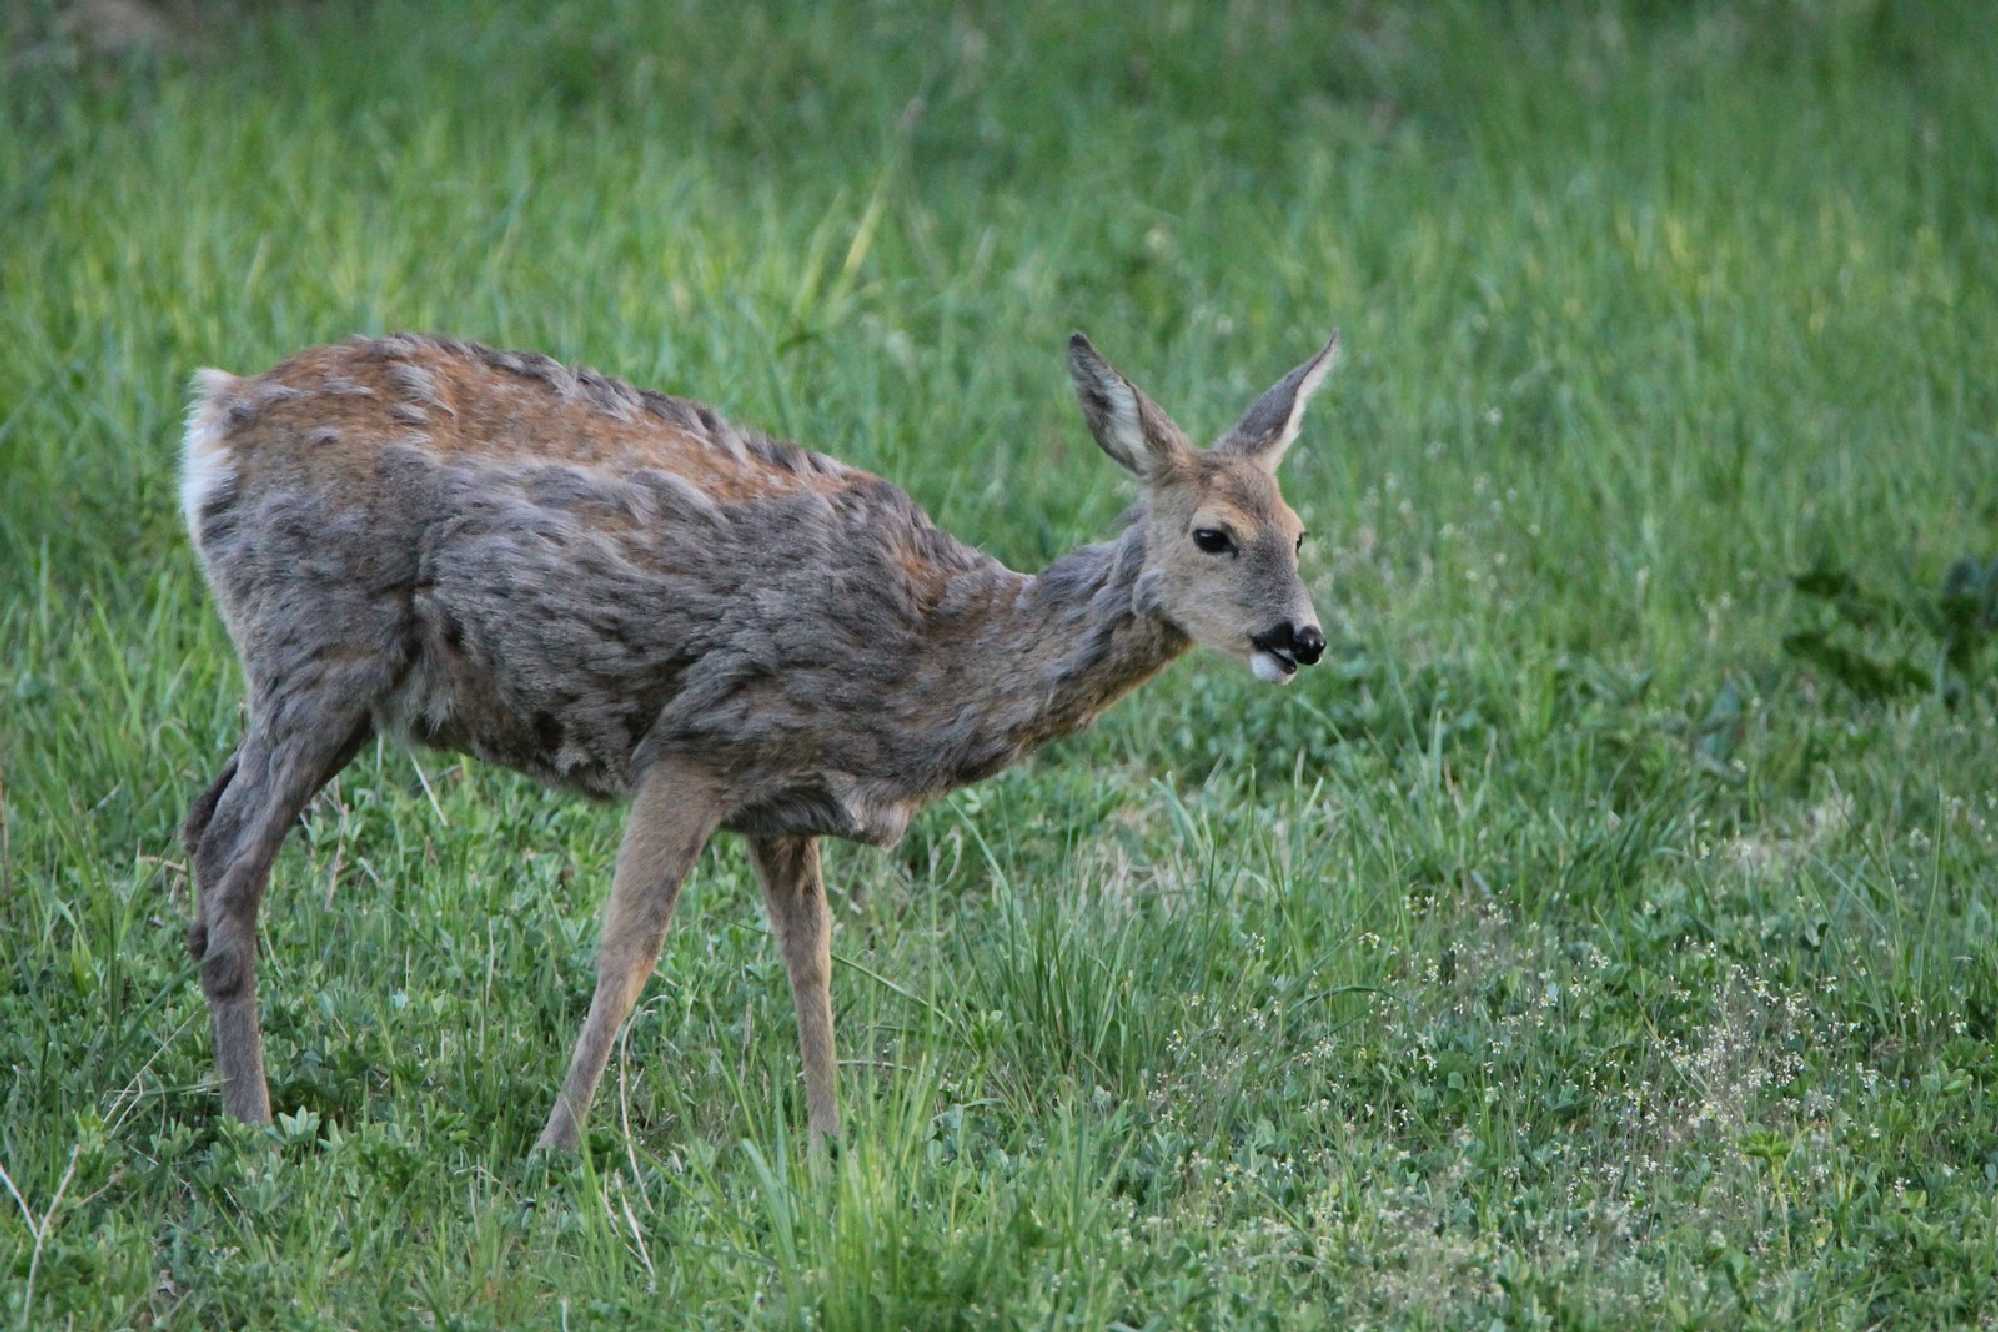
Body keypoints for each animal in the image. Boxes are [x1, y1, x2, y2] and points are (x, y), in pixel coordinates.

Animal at [179, 327, 1342, 1150]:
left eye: (1299, 532)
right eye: (1212, 534)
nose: (1304, 637)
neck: (927, 655)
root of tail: (219, 417)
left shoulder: (785, 801)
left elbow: (812, 964)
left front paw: (831, 1145)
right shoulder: (700, 740)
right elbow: (630, 953)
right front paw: (554, 1149)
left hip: (320, 673)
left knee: (203, 818)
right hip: (322, 634)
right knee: (237, 849)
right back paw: (255, 1123)